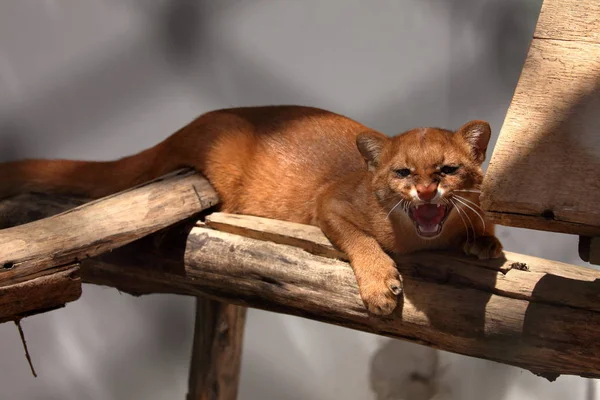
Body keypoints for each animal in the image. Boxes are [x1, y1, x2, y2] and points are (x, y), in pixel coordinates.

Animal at [0, 106, 502, 316]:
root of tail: (194, 122)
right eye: (402, 172)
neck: (419, 241)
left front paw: (487, 244)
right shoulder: (330, 202)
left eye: (448, 169)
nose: (426, 190)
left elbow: (485, 219)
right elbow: (360, 239)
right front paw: (381, 286)